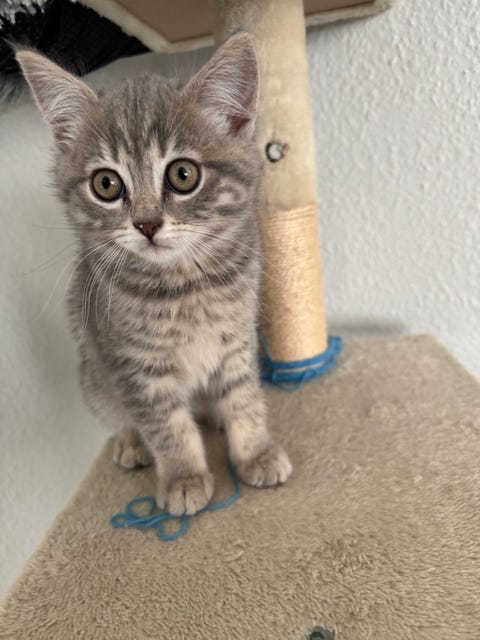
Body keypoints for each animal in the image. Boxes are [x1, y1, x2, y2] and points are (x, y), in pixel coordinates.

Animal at [16, 33, 292, 516]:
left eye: (183, 174)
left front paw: (254, 451)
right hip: (93, 376)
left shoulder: (237, 340)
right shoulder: (134, 364)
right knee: (117, 416)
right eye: (106, 184)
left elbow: (243, 396)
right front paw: (184, 476)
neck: (185, 285)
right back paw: (131, 443)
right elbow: (166, 425)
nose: (146, 224)